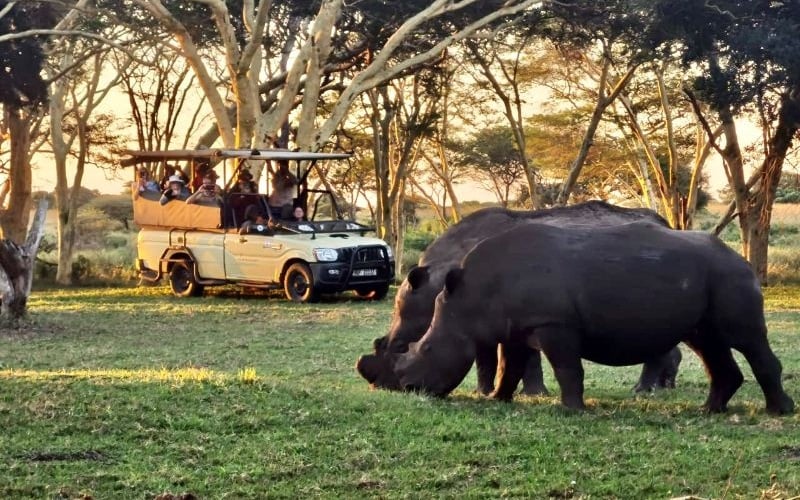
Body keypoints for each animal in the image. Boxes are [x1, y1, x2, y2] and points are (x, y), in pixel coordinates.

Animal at [357, 201, 682, 397]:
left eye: (400, 346)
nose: (380, 386)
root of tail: (666, 224)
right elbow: (486, 356)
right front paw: (485, 392)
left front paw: (531, 394)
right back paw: (661, 388)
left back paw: (643, 391)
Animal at [394, 221, 795, 415]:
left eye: (426, 349)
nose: (409, 388)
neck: (473, 296)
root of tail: (742, 259)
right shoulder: (517, 326)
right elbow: (511, 366)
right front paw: (498, 399)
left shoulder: (554, 323)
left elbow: (567, 368)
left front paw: (572, 409)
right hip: (712, 280)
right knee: (708, 343)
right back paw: (710, 411)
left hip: (730, 276)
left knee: (746, 339)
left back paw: (779, 412)